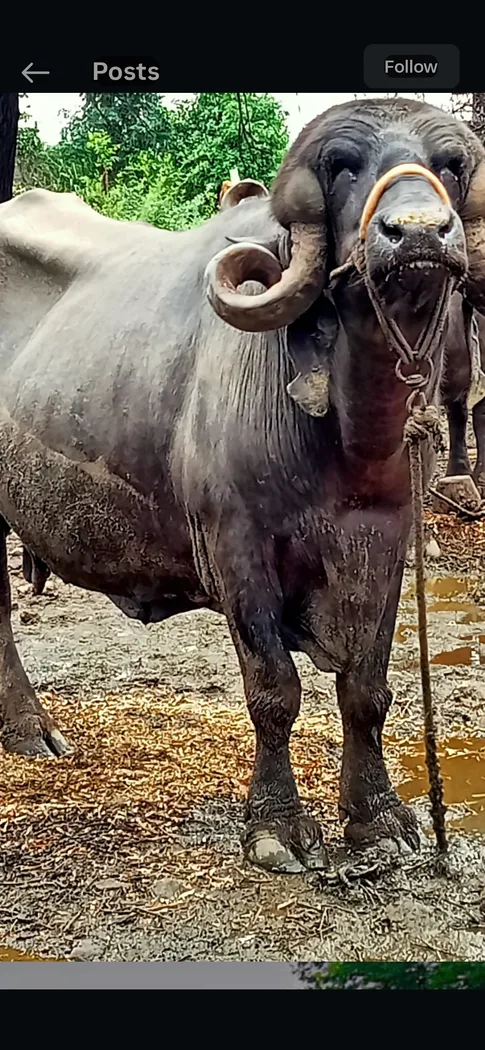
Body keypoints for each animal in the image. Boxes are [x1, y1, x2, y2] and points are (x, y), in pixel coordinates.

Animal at [1, 97, 485, 874]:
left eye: (451, 166)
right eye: (342, 166)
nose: (416, 232)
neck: (342, 439)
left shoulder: (384, 546)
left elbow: (366, 689)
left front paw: (377, 819)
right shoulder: (237, 550)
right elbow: (274, 690)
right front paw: (277, 826)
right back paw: (30, 729)